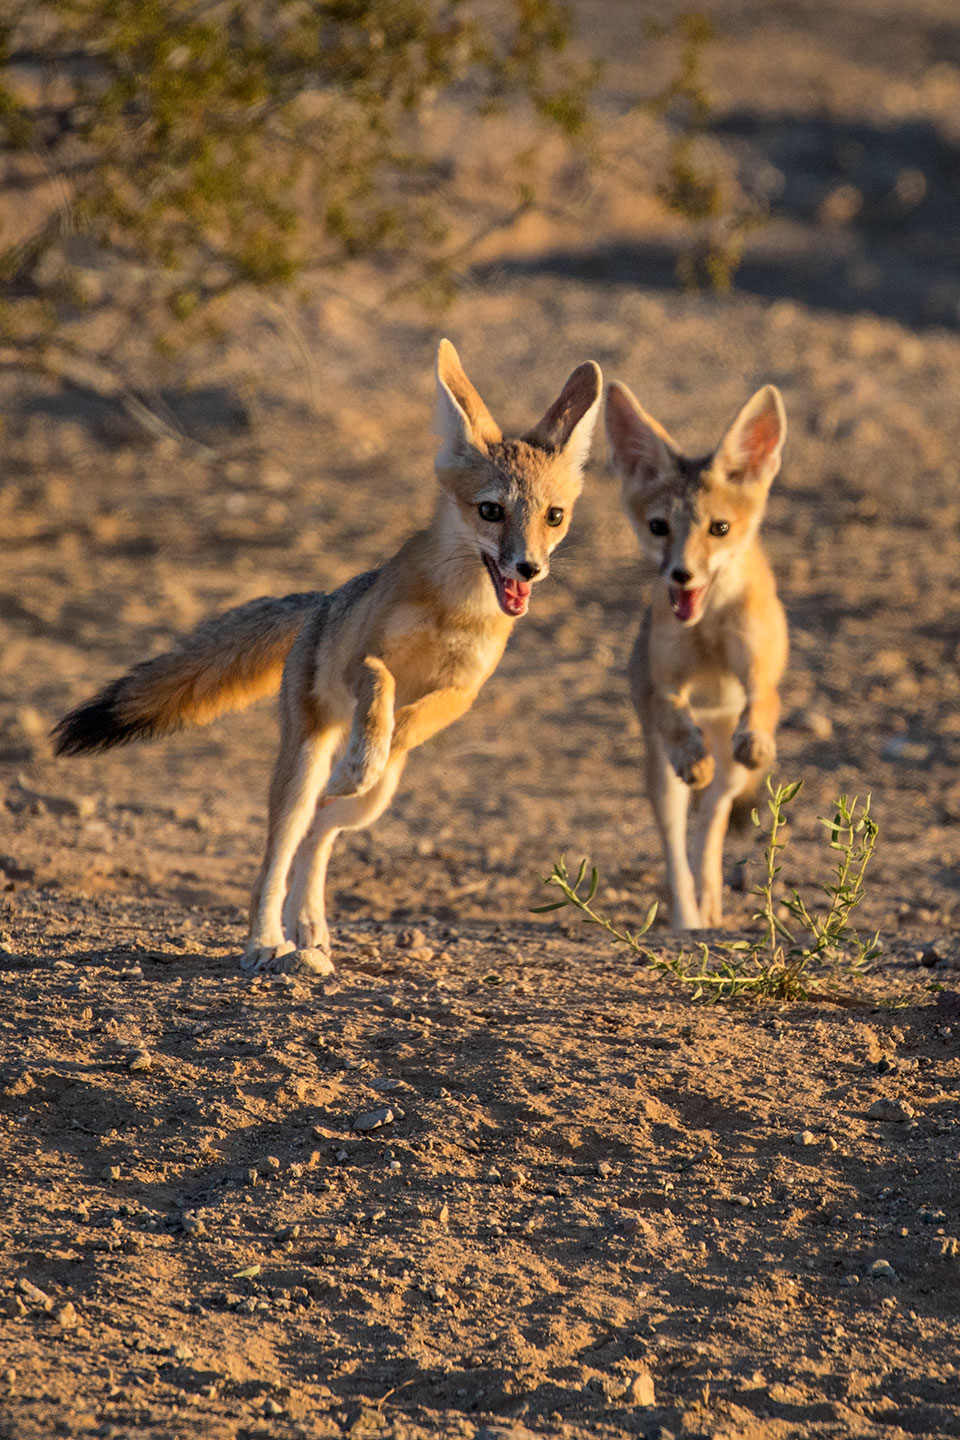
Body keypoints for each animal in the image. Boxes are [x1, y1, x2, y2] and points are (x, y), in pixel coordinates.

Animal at [54, 342, 601, 973]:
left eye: (553, 516)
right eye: (491, 511)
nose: (528, 569)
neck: (456, 611)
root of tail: (318, 602)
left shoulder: (464, 691)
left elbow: (412, 719)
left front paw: (376, 750)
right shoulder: (358, 661)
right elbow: (382, 683)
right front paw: (367, 750)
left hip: (372, 806)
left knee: (321, 830)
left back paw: (311, 920)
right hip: (300, 767)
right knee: (281, 850)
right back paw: (268, 940)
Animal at [607, 377, 788, 927]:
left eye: (719, 528)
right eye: (659, 527)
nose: (681, 575)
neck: (707, 628)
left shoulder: (760, 676)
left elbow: (763, 702)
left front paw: (758, 736)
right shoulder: (664, 686)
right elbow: (674, 718)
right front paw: (690, 752)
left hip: (734, 772)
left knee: (712, 818)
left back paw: (710, 898)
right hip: (660, 780)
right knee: (676, 843)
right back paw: (688, 919)